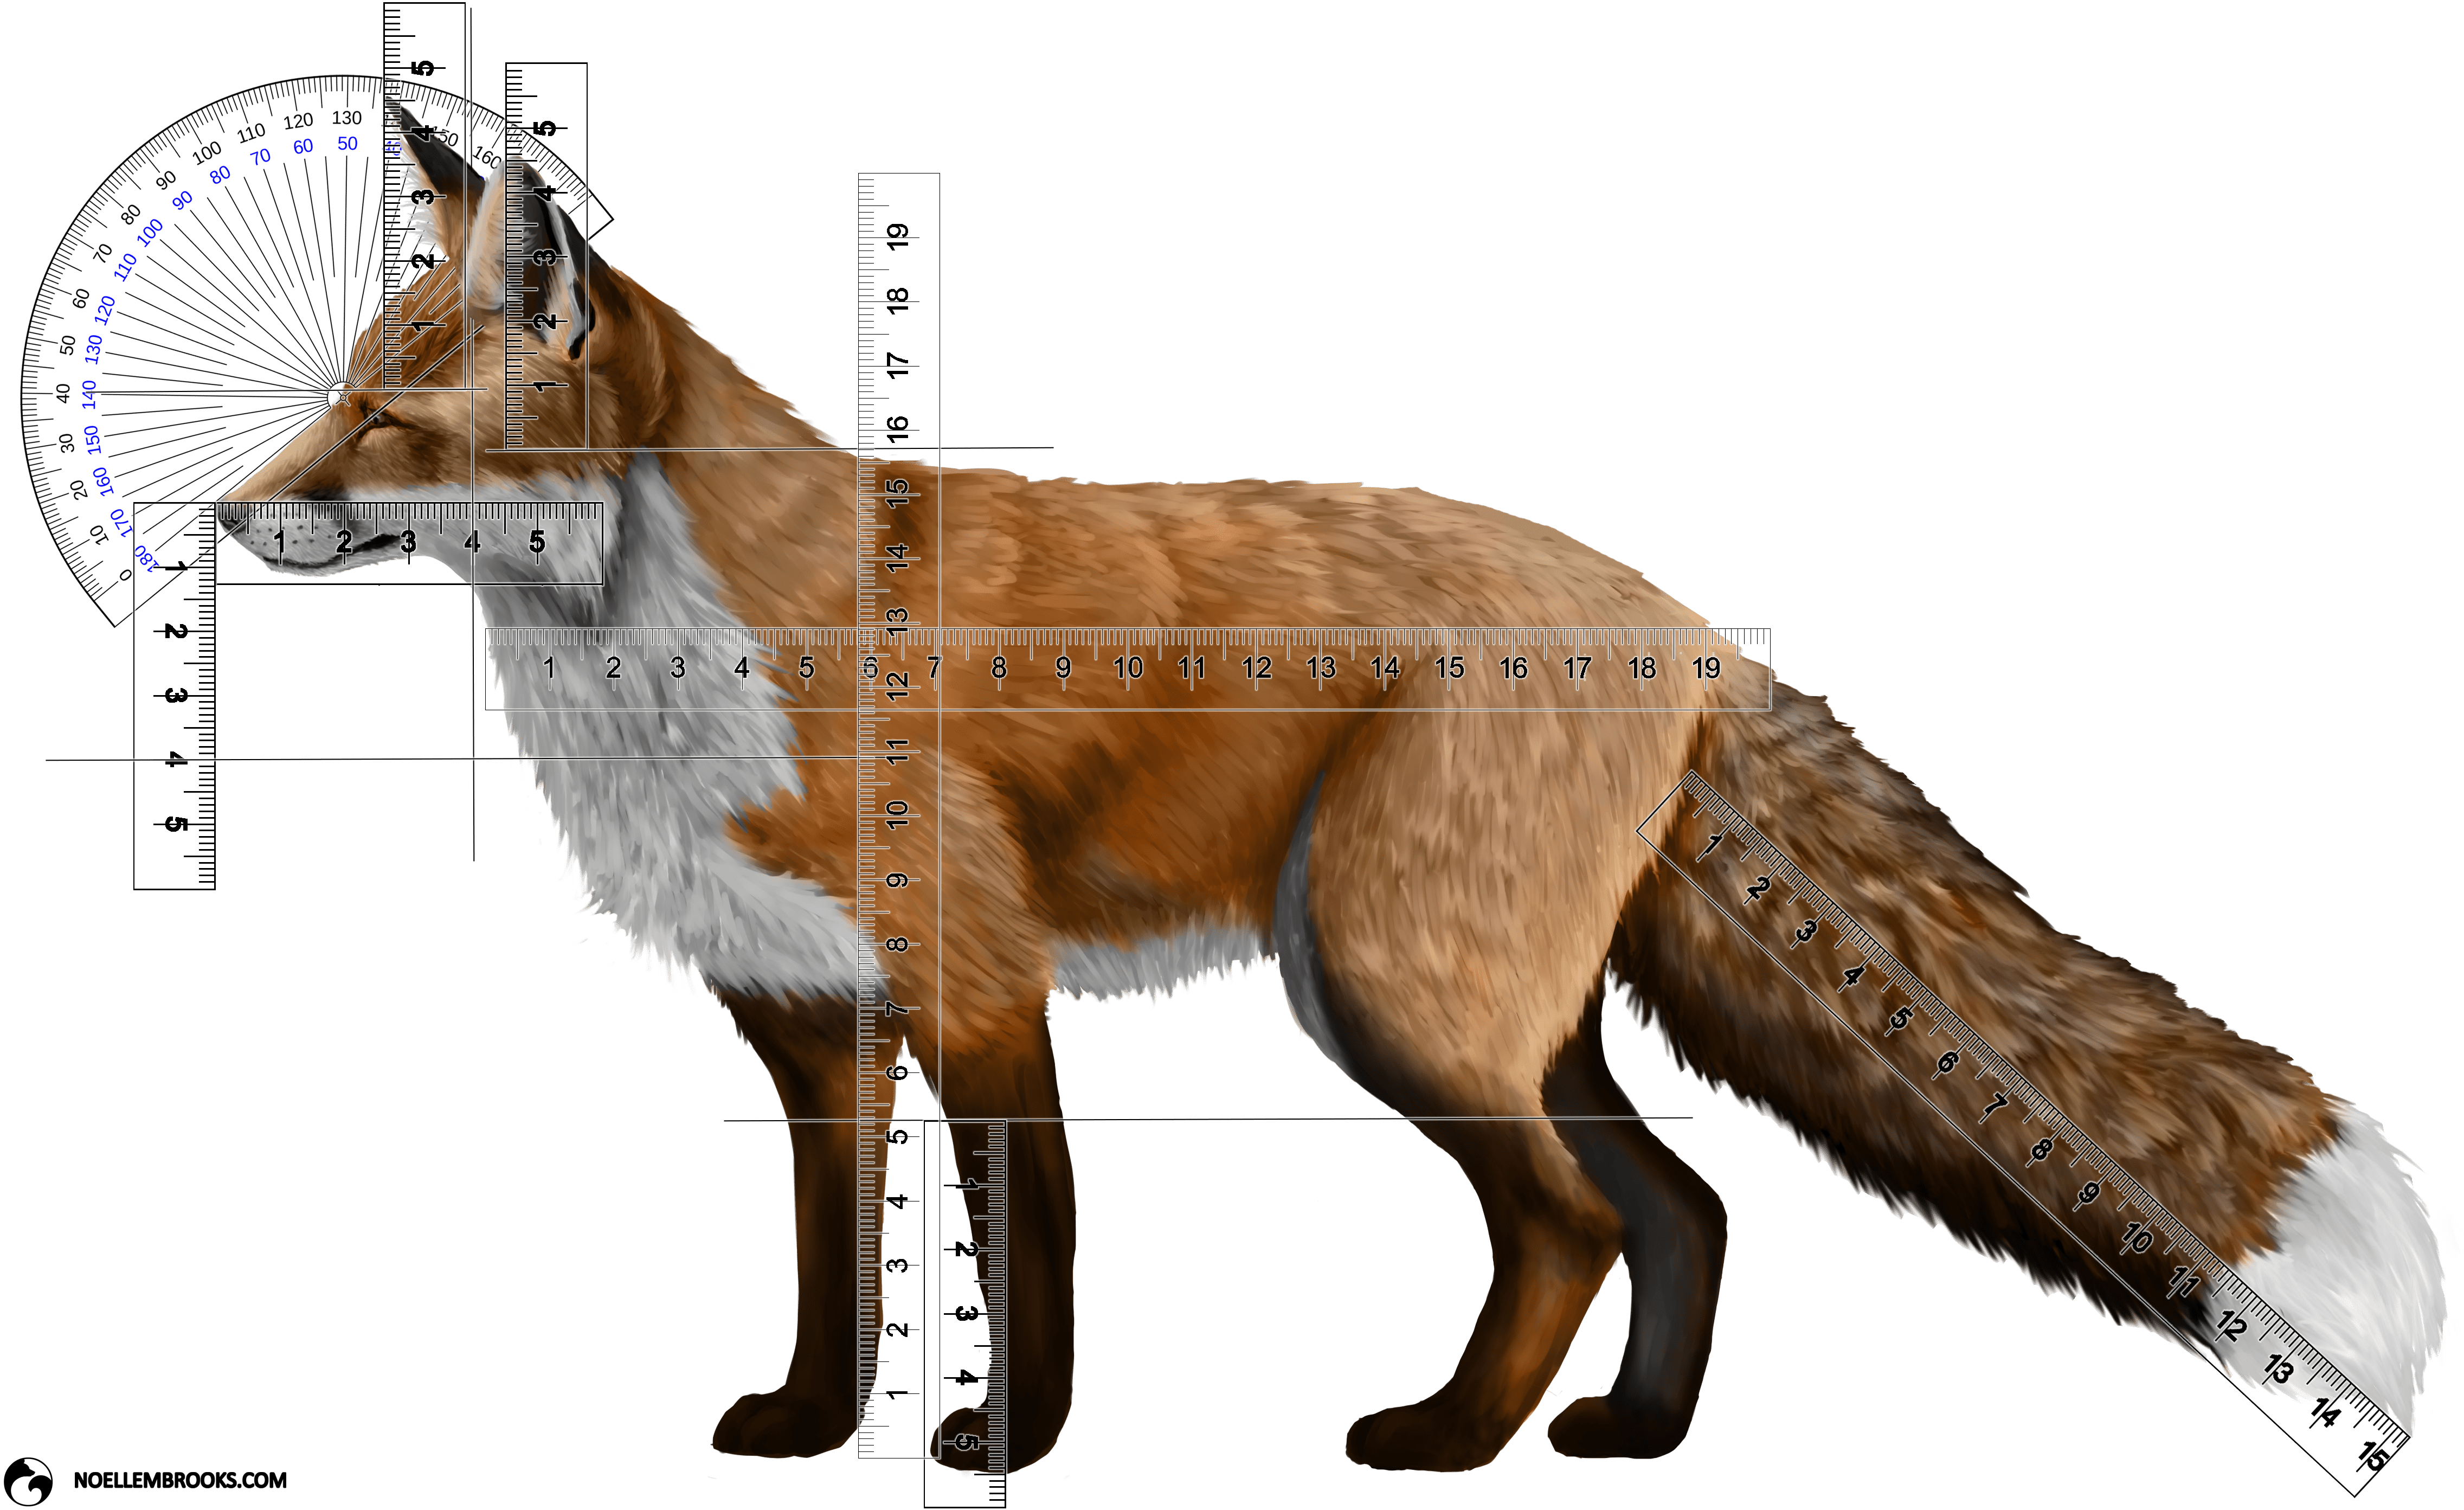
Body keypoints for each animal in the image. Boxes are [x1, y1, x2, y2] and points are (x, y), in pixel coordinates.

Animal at [220, 127, 2459, 1476]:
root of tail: (1675, 617)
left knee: (1575, 1220)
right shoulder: (810, 1027)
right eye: (330, 401)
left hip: (1386, 991)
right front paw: (813, 1419)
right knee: (1686, 1204)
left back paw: (1452, 1441)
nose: (231, 524)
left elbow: (1022, 1257)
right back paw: (1628, 1438)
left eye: (389, 420)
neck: (666, 656)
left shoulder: (981, 991)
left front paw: (1004, 1457)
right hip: (1480, 1005)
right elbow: (831, 1253)